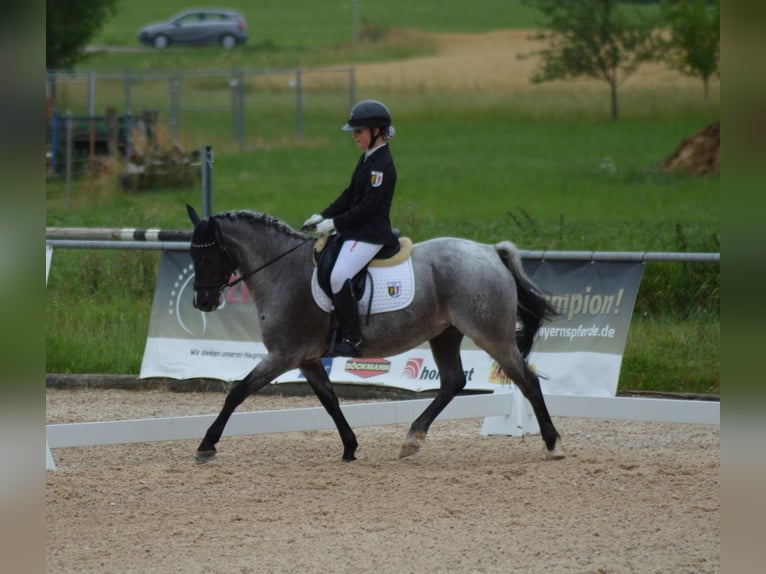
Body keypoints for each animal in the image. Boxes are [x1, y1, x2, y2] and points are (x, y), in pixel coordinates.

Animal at [186, 205, 564, 466]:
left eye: (208, 254)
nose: (202, 302)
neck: (283, 271)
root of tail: (490, 252)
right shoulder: (307, 359)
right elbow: (330, 401)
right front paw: (350, 447)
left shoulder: (283, 355)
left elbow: (237, 393)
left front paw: (206, 445)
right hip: (446, 334)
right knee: (453, 382)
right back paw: (412, 439)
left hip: (491, 335)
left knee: (527, 381)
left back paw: (553, 444)